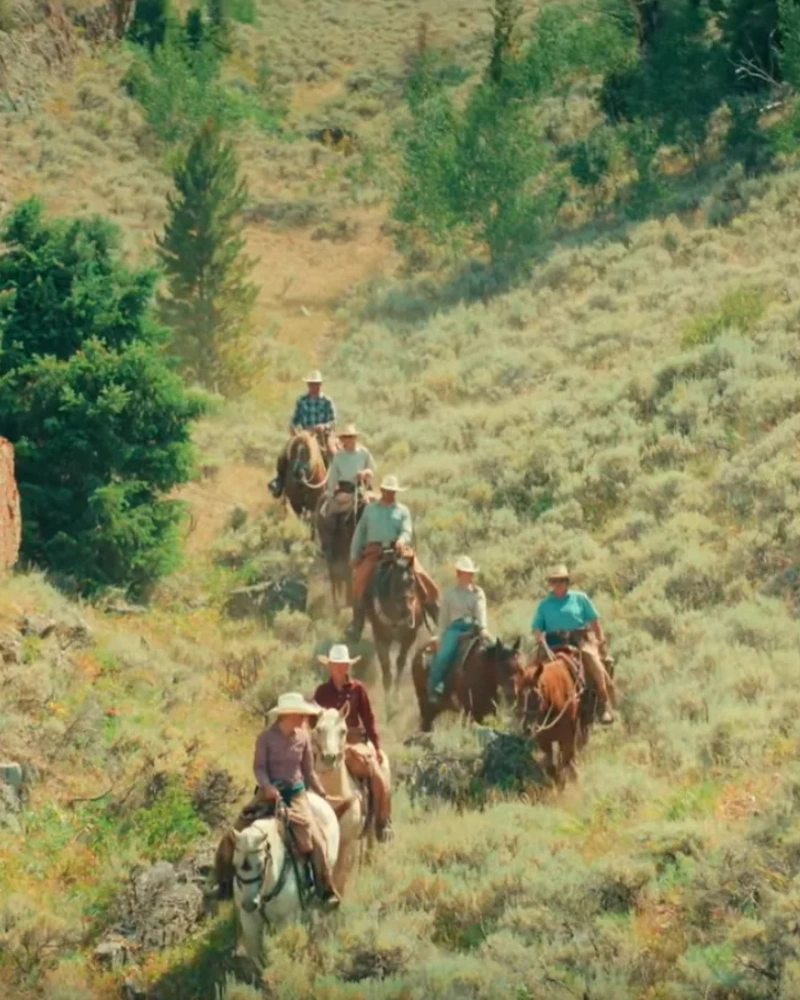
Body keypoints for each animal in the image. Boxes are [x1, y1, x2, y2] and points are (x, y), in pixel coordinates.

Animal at [230, 788, 340, 968]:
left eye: (261, 863)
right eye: (234, 863)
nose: (249, 904)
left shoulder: (286, 920)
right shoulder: (250, 921)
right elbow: (257, 959)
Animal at [368, 548, 432, 696]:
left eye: (413, 581)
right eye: (396, 581)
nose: (407, 612)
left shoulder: (409, 638)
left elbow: (400, 663)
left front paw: (396, 697)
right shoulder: (381, 638)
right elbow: (386, 669)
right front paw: (388, 700)